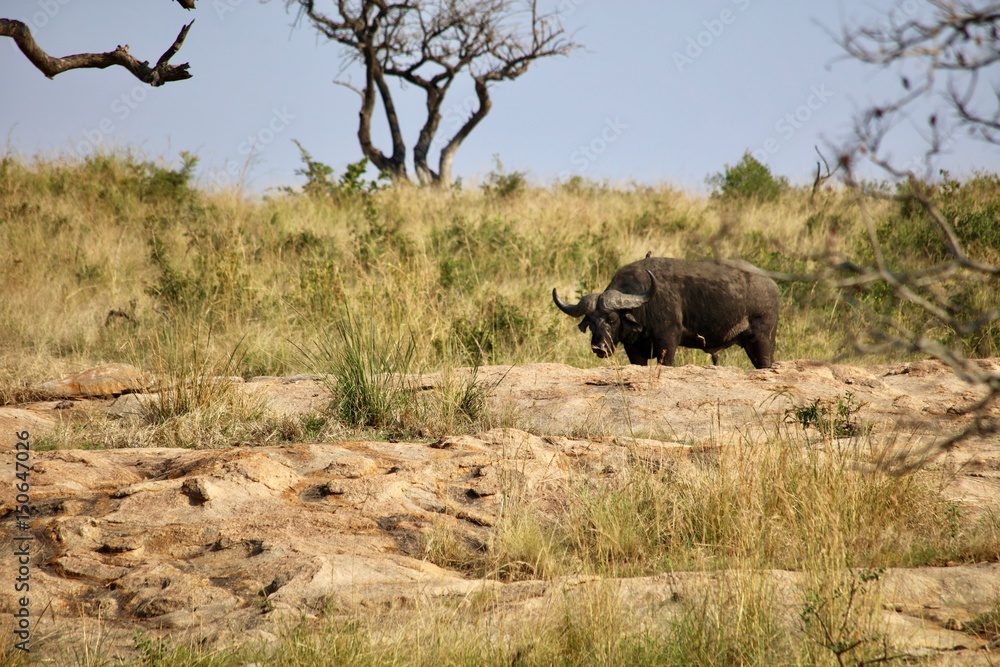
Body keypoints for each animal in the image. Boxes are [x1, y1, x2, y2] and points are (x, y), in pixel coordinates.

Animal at [553, 257, 779, 369]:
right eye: (591, 323)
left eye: (612, 319)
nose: (598, 347)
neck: (644, 307)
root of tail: (771, 283)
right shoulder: (634, 351)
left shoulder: (668, 343)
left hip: (762, 339)